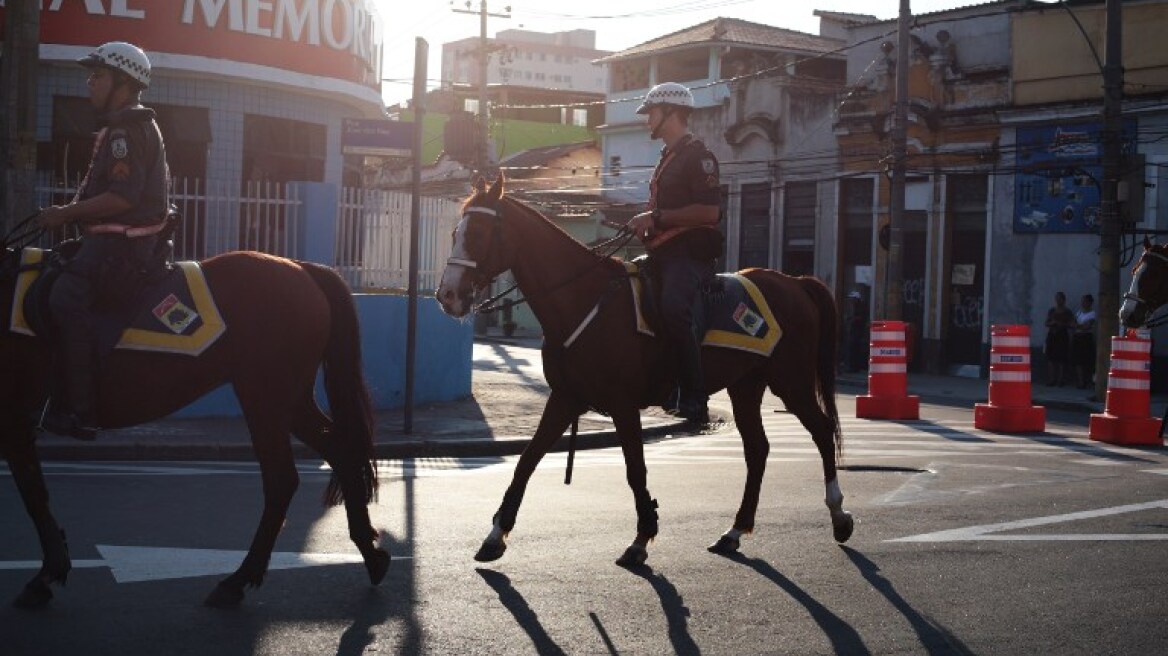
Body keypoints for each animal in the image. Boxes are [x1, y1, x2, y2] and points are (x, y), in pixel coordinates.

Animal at [2, 247, 390, 606]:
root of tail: (301, 268)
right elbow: (35, 491)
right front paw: (51, 570)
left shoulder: (14, 419)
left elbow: (33, 494)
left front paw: (46, 575)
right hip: (289, 402)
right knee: (340, 451)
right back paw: (371, 555)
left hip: (265, 398)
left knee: (282, 479)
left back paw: (238, 581)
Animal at [434, 176, 854, 564]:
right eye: (454, 233)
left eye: (479, 233)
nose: (447, 296)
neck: (584, 298)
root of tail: (795, 283)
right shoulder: (565, 398)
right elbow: (526, 460)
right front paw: (495, 535)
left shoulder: (623, 405)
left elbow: (635, 469)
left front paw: (642, 537)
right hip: (746, 386)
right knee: (758, 449)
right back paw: (734, 531)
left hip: (792, 380)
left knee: (820, 429)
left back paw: (838, 514)